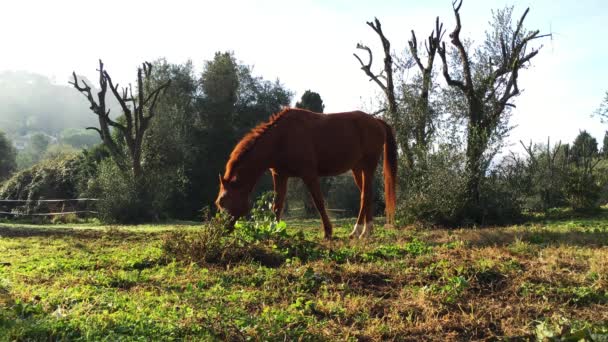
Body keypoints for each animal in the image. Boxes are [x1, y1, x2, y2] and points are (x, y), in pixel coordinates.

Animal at [216, 108, 396, 239]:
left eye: (224, 201)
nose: (222, 230)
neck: (281, 138)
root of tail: (376, 121)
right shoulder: (280, 176)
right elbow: (277, 205)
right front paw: (275, 231)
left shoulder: (309, 175)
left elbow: (319, 202)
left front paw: (328, 232)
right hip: (357, 169)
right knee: (367, 195)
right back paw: (366, 230)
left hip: (368, 166)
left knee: (365, 195)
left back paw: (360, 231)